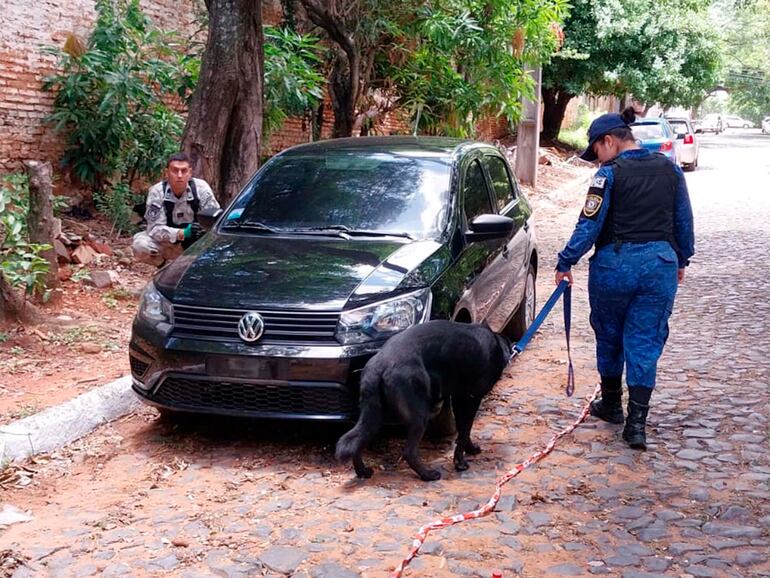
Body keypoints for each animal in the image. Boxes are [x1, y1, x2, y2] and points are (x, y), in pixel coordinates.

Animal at [336, 320, 510, 476]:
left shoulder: (459, 399)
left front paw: (470, 450)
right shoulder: (471, 399)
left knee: (358, 439)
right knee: (409, 452)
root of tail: (379, 363)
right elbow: (464, 432)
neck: (496, 345)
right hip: (419, 414)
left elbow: (463, 431)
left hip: (376, 414)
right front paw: (460, 462)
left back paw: (362, 472)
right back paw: (427, 474)